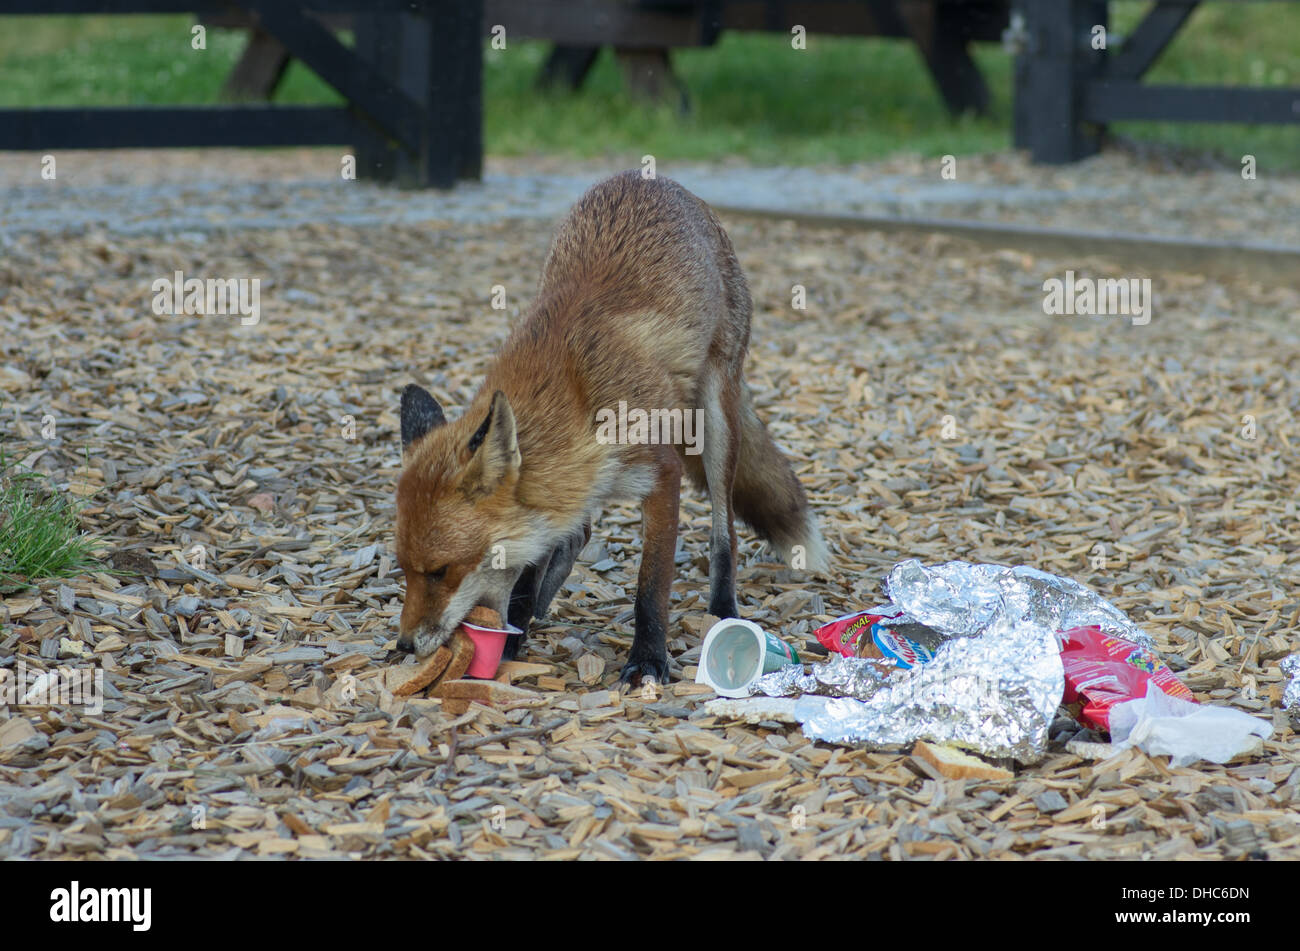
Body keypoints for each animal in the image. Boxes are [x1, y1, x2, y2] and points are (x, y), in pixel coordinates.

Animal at [394, 170, 829, 684]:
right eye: (403, 570)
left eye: (440, 571)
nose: (403, 646)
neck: (576, 390)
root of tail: (654, 177)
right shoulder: (558, 485)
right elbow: (531, 566)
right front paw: (517, 631)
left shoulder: (661, 474)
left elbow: (651, 584)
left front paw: (648, 658)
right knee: (578, 533)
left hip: (716, 420)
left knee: (726, 534)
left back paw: (724, 612)